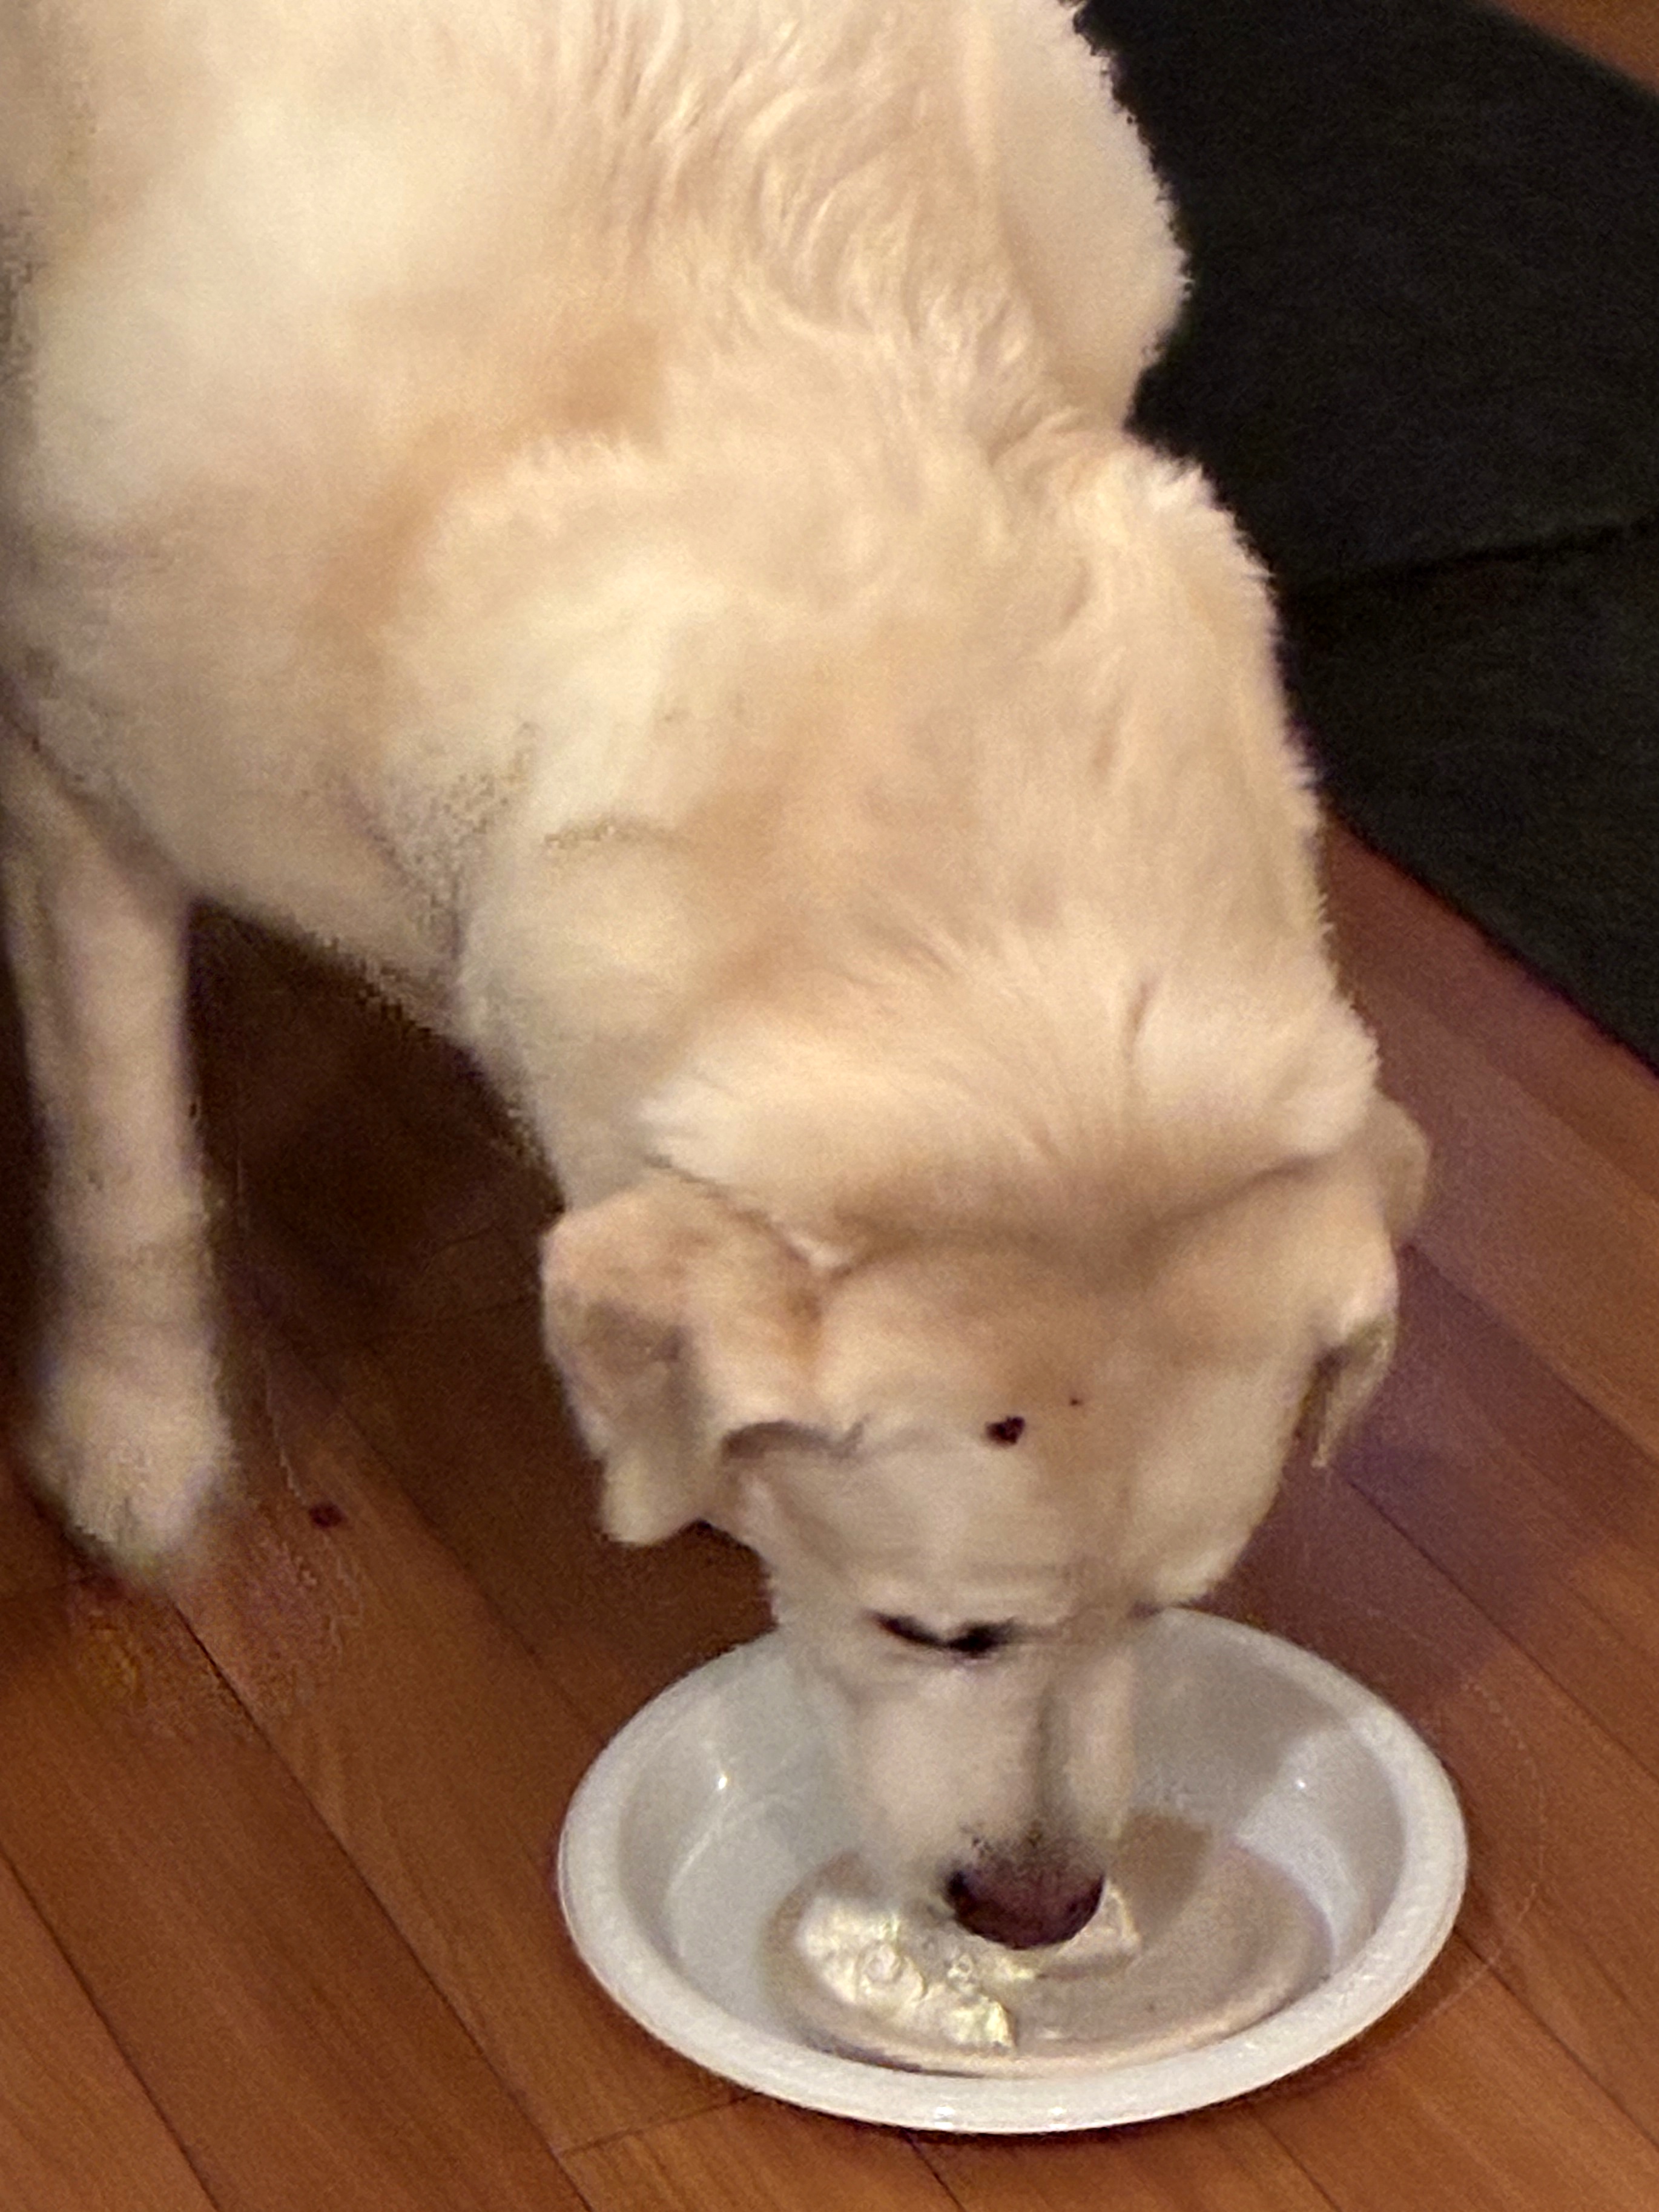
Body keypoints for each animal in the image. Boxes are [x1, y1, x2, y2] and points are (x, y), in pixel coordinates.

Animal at [0, 0, 1424, 1948]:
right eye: (935, 1630)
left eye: (1171, 1604)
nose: (1040, 1914)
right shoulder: (84, 772)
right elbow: (124, 1164)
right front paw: (136, 1446)